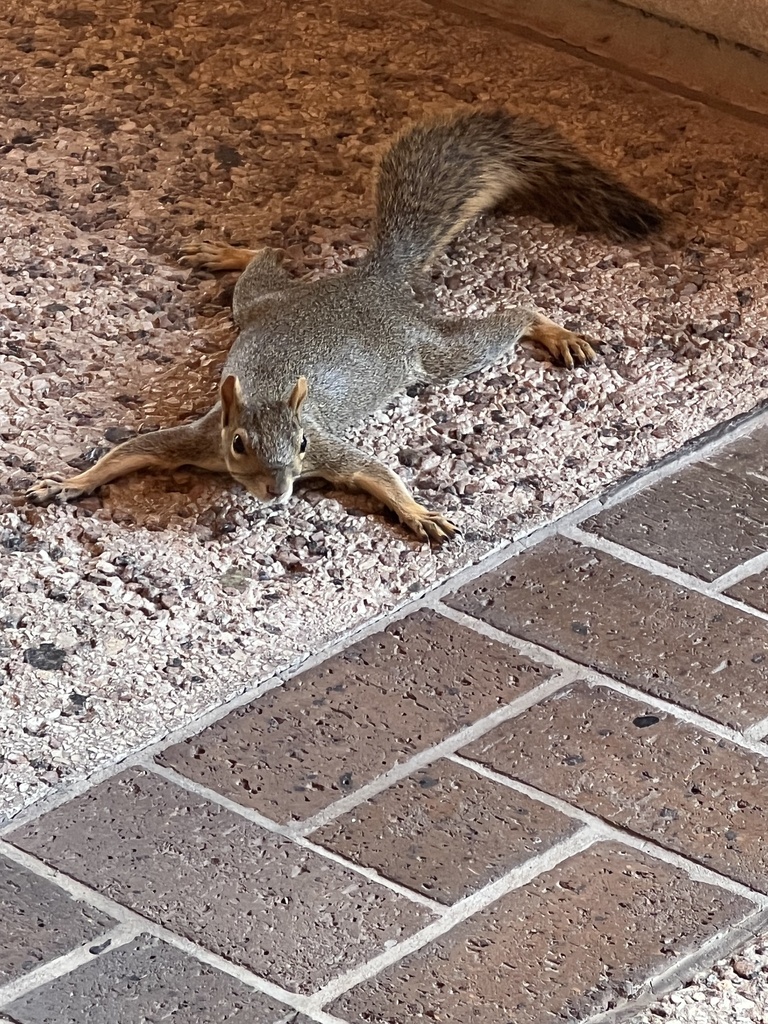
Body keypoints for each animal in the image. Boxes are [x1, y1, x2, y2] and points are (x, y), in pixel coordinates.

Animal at [25, 110, 663, 544]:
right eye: (239, 444)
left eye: (303, 444)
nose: (280, 490)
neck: (267, 396)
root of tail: (372, 280)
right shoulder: (196, 437)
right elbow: (130, 453)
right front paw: (67, 482)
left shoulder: (329, 449)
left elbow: (373, 471)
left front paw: (417, 511)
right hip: (262, 306)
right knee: (266, 261)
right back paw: (226, 253)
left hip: (430, 349)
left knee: (507, 321)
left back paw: (552, 330)